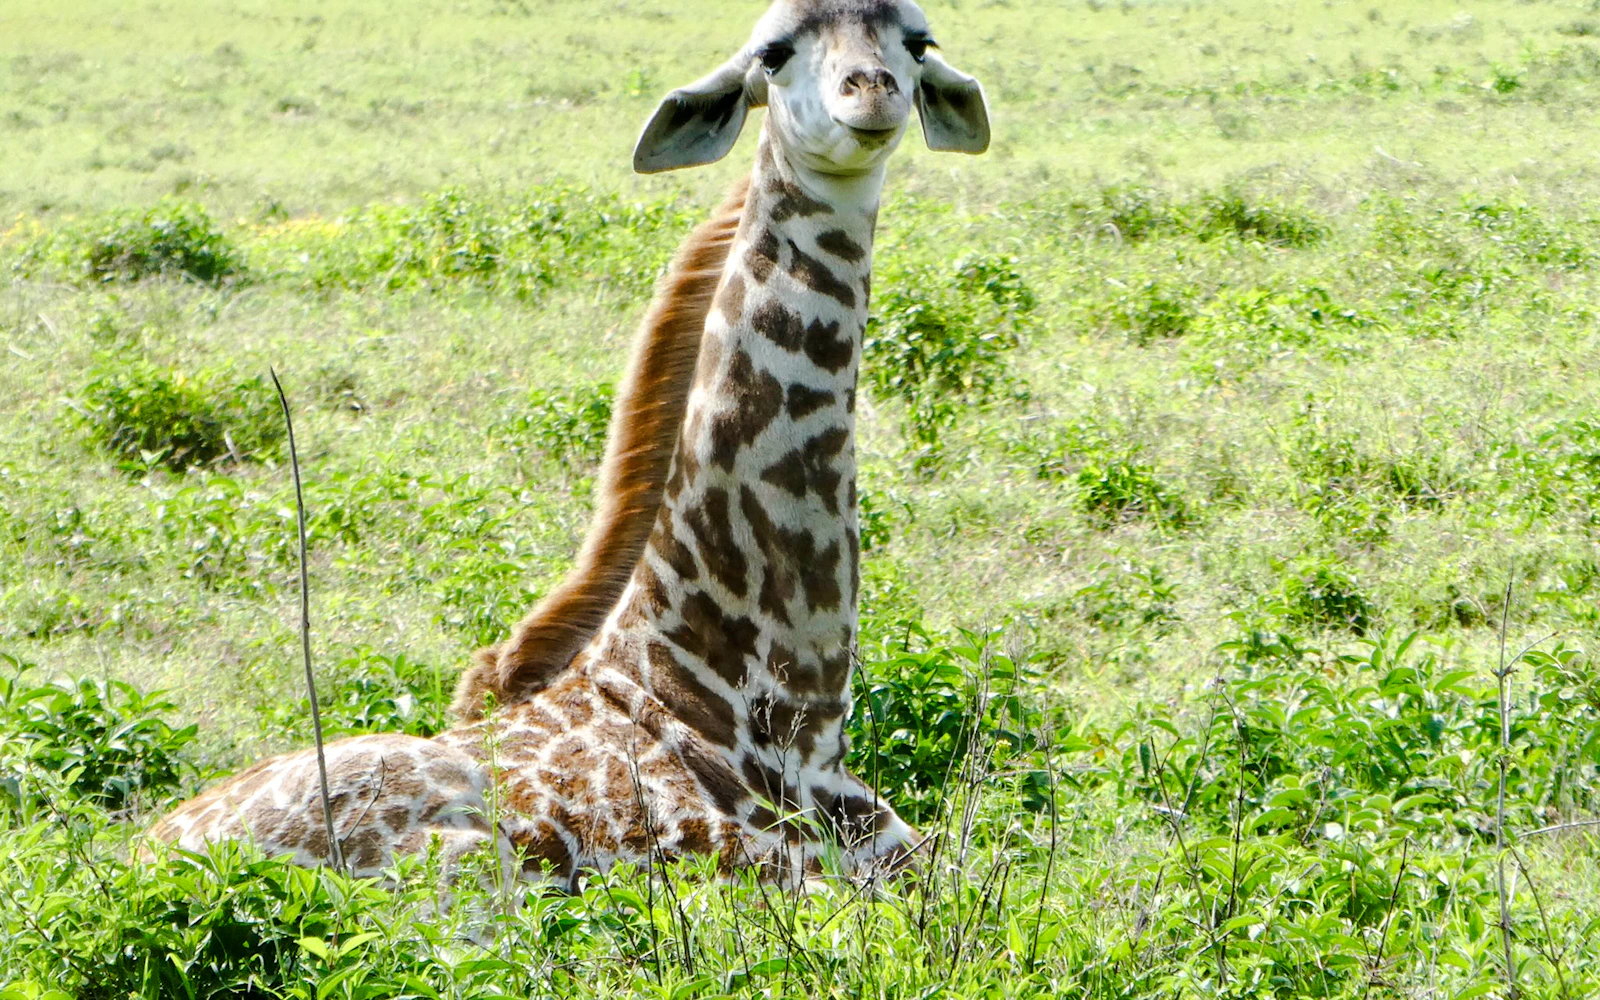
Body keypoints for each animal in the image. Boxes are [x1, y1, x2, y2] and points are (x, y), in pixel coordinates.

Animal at [147, 0, 989, 891]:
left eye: (919, 41)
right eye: (773, 50)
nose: (872, 93)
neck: (769, 710)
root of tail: (142, 856)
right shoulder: (770, 880)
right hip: (466, 869)